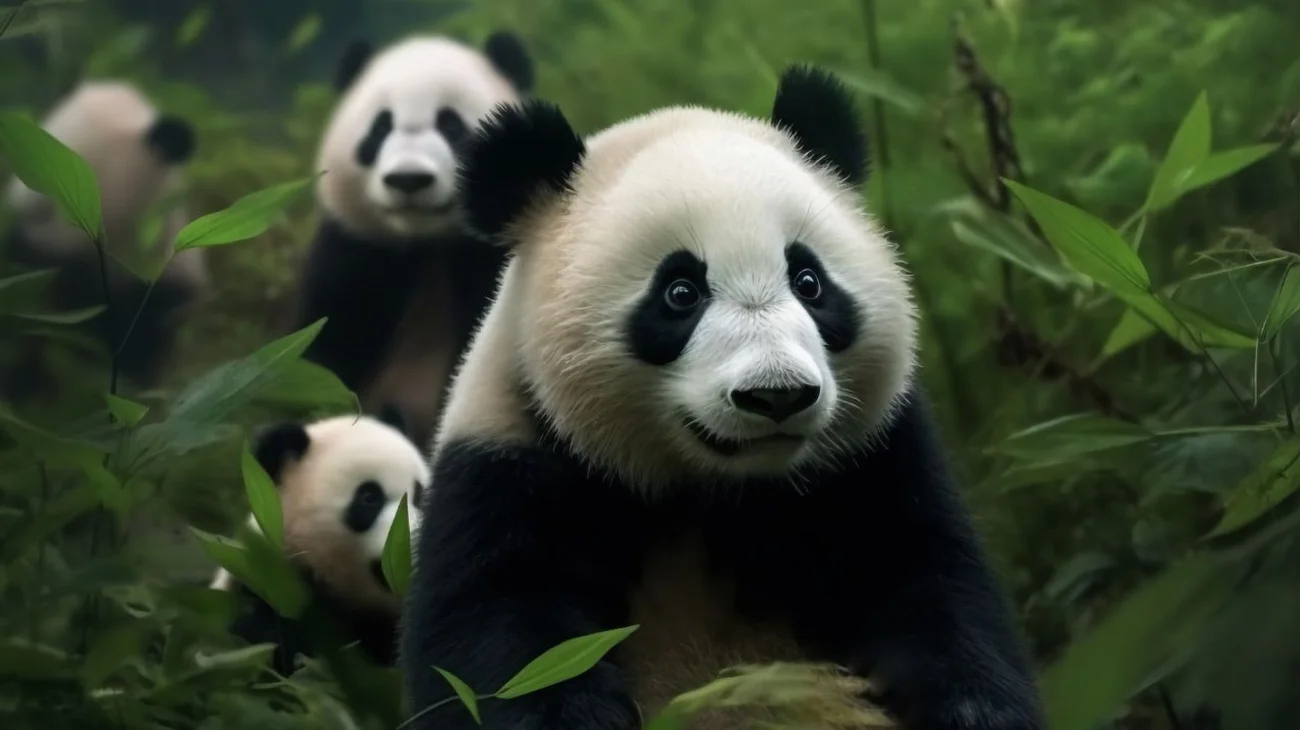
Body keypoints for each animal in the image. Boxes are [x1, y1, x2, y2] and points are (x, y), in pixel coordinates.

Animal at [290, 31, 535, 449]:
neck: (426, 243)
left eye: (452, 127)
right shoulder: (356, 250)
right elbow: (324, 355)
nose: (409, 178)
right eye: (380, 129)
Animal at [400, 66, 1046, 730]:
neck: (712, 495)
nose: (777, 395)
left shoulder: (872, 461)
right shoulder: (508, 465)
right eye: (680, 292)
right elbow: (500, 633)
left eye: (809, 282)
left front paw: (974, 710)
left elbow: (931, 588)